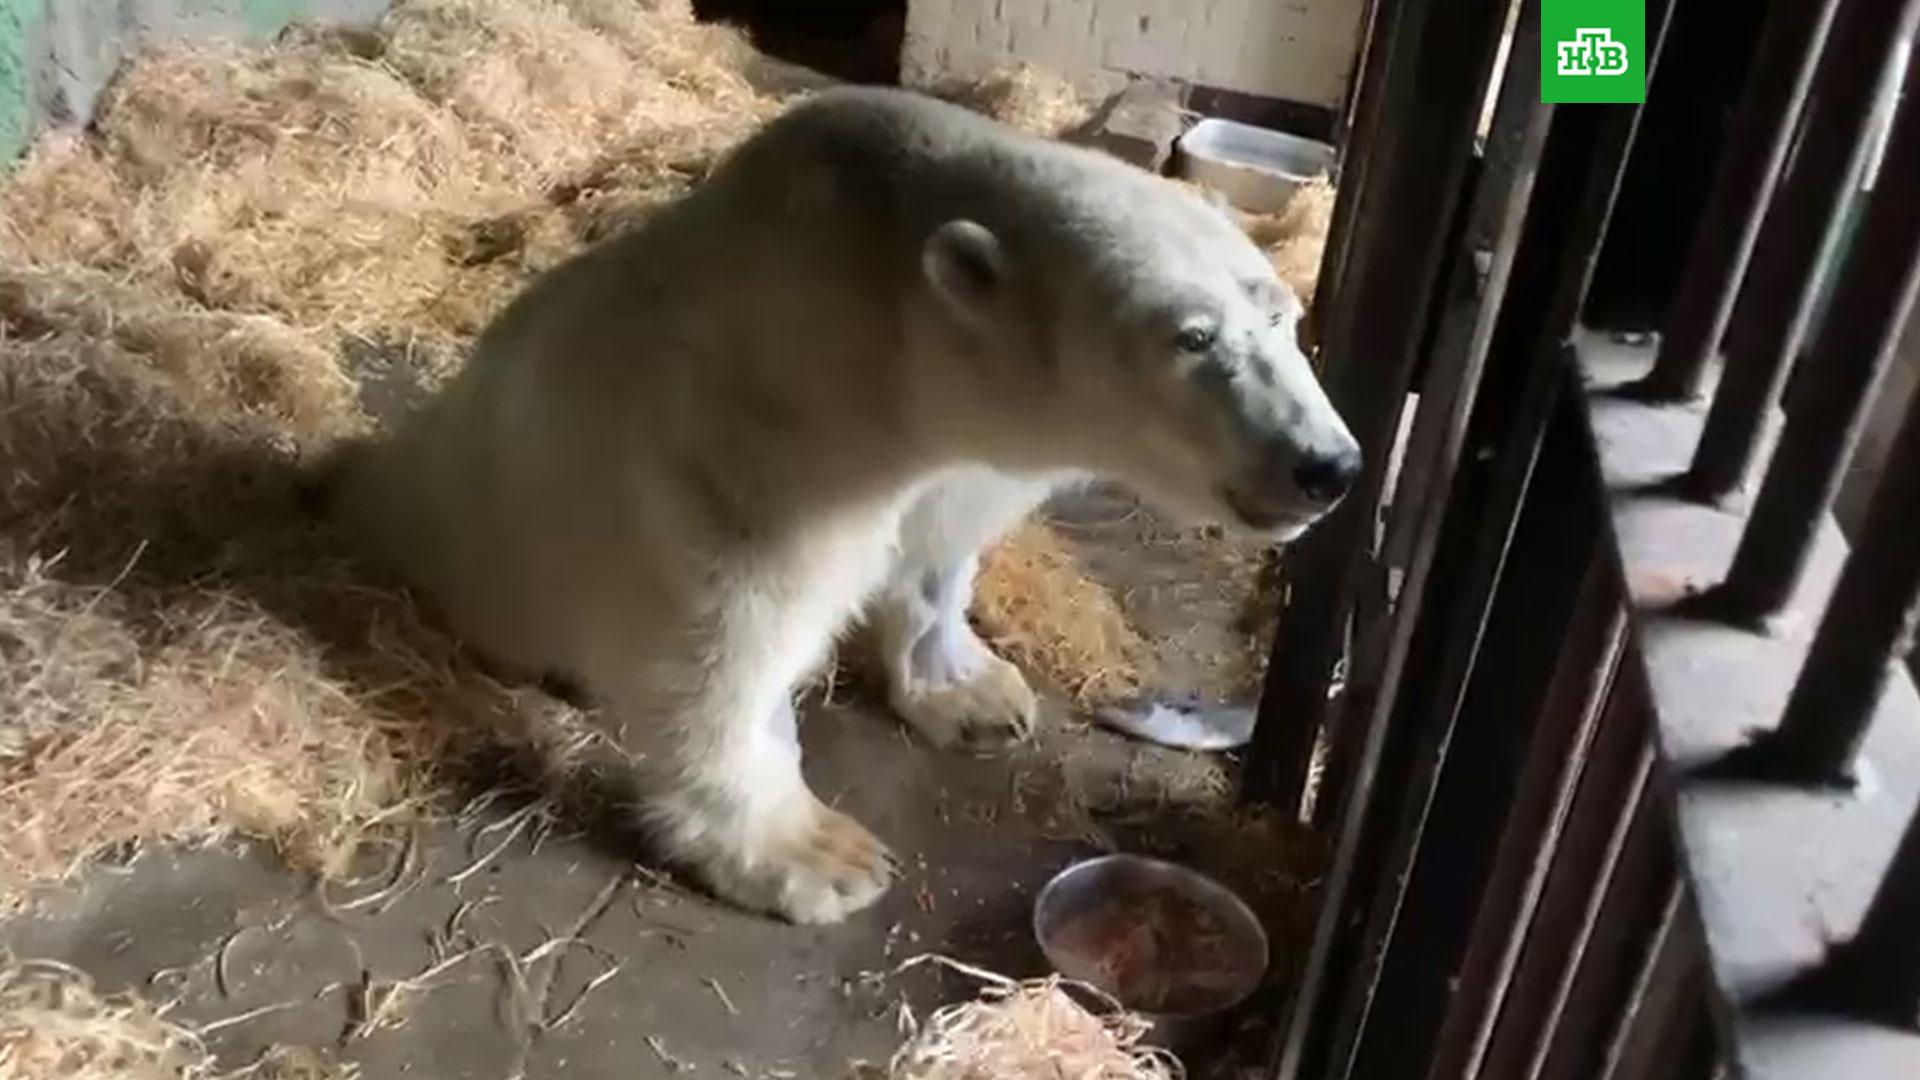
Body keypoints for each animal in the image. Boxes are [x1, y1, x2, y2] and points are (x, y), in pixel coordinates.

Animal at [341, 88, 1367, 922]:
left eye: (1283, 316)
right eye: (1191, 337)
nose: (1329, 466)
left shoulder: (954, 457)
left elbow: (936, 552)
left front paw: (973, 694)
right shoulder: (758, 438)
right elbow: (731, 640)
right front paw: (813, 854)